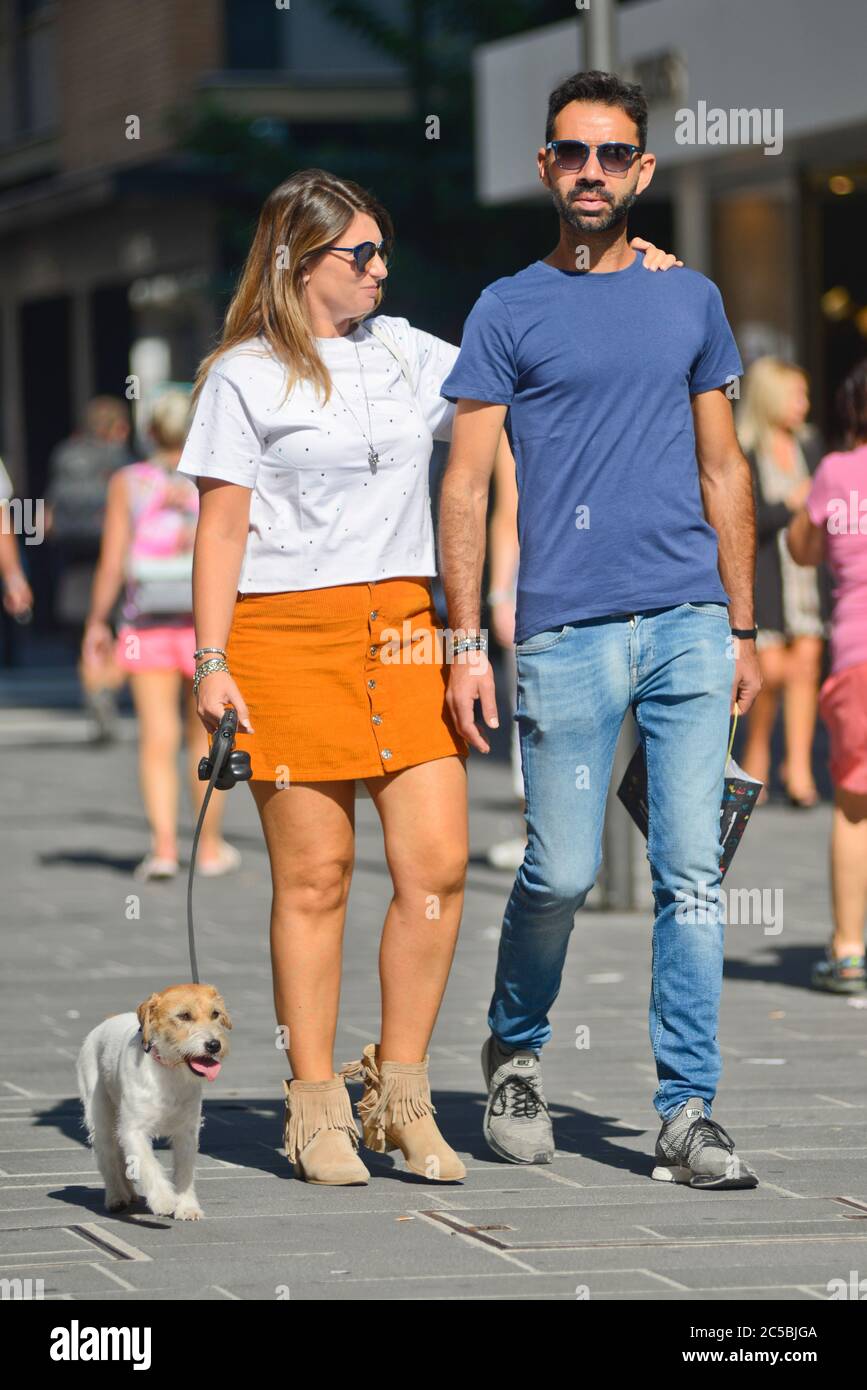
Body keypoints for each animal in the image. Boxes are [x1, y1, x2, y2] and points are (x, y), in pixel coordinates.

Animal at [76, 984, 232, 1223]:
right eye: (184, 1016)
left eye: (215, 1014)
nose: (214, 1045)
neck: (169, 1072)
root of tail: (108, 1021)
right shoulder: (134, 1130)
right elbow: (148, 1165)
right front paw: (164, 1200)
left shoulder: (187, 1132)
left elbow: (185, 1171)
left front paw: (187, 1207)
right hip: (100, 1118)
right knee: (107, 1158)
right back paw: (116, 1196)